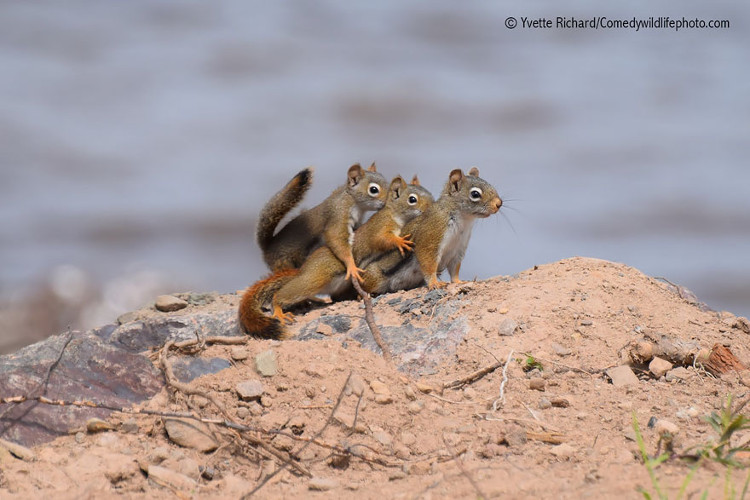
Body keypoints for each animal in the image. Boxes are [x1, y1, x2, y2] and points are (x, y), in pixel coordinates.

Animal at [241, 177, 434, 340]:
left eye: (430, 194)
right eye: (412, 199)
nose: (431, 207)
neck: (395, 214)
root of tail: (304, 269)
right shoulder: (380, 226)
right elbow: (381, 239)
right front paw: (399, 241)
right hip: (315, 278)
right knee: (286, 293)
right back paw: (279, 309)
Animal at [258, 164, 390, 282]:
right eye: (373, 190)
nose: (387, 202)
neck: (353, 201)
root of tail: (268, 248)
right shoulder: (338, 215)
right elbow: (336, 238)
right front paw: (352, 266)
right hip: (284, 262)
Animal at [362, 168, 502, 292]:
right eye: (475, 194)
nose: (499, 204)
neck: (463, 221)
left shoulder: (458, 249)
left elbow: (454, 269)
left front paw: (459, 281)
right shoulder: (432, 234)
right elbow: (428, 263)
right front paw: (434, 283)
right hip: (374, 277)